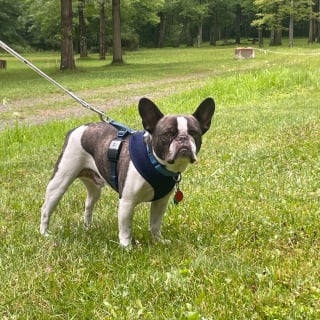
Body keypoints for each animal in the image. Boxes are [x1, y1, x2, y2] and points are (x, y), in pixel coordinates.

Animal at [40, 97, 215, 248]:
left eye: (195, 133)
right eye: (168, 134)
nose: (183, 138)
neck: (155, 162)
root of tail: (76, 129)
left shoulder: (161, 202)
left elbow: (155, 223)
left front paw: (158, 240)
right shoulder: (127, 201)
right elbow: (125, 227)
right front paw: (126, 247)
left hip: (94, 187)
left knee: (89, 203)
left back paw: (88, 226)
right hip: (60, 182)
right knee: (46, 209)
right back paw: (44, 233)